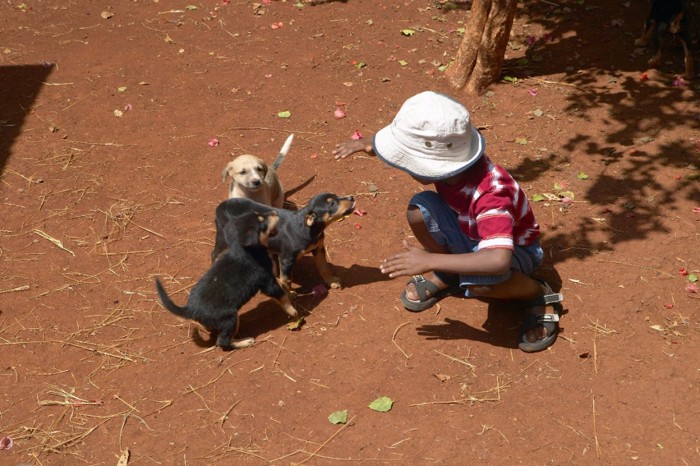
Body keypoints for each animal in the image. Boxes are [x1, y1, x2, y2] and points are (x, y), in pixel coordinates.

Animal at [154, 210, 296, 350]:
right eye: (263, 223)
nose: (275, 212)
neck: (245, 249)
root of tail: (190, 309)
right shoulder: (267, 281)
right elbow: (282, 296)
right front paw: (293, 312)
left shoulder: (270, 275)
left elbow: (281, 282)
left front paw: (289, 289)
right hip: (230, 319)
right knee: (223, 342)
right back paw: (244, 342)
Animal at [211, 192, 356, 294]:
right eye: (332, 204)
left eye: (336, 196)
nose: (352, 198)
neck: (308, 228)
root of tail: (221, 206)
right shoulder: (286, 259)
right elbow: (287, 279)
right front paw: (290, 293)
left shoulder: (319, 248)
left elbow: (324, 267)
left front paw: (331, 281)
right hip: (223, 238)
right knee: (214, 254)